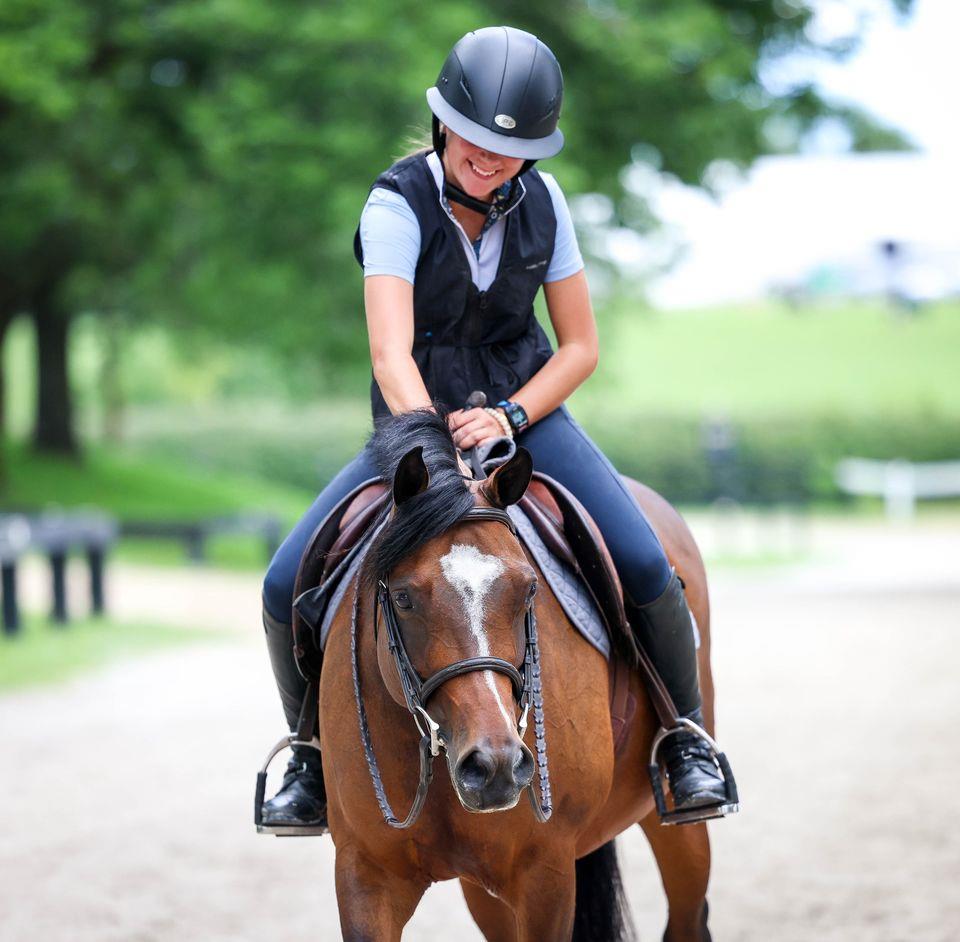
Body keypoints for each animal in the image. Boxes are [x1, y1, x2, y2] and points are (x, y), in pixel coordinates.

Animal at [318, 410, 722, 941]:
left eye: (529, 588)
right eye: (403, 597)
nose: (496, 765)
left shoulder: (545, 873)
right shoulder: (365, 874)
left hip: (677, 823)